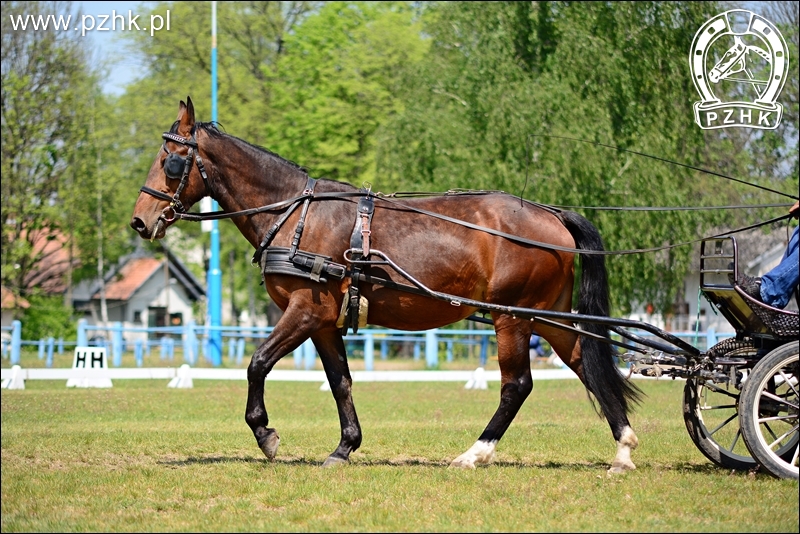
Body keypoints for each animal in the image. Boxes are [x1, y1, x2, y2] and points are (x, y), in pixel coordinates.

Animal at [131, 98, 644, 476]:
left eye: (171, 161)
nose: (140, 221)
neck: (296, 214)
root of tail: (551, 214)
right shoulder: (324, 322)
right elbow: (340, 381)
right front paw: (344, 448)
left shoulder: (305, 311)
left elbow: (257, 364)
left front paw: (267, 436)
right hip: (548, 316)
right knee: (587, 365)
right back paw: (622, 451)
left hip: (512, 317)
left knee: (516, 385)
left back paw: (474, 453)